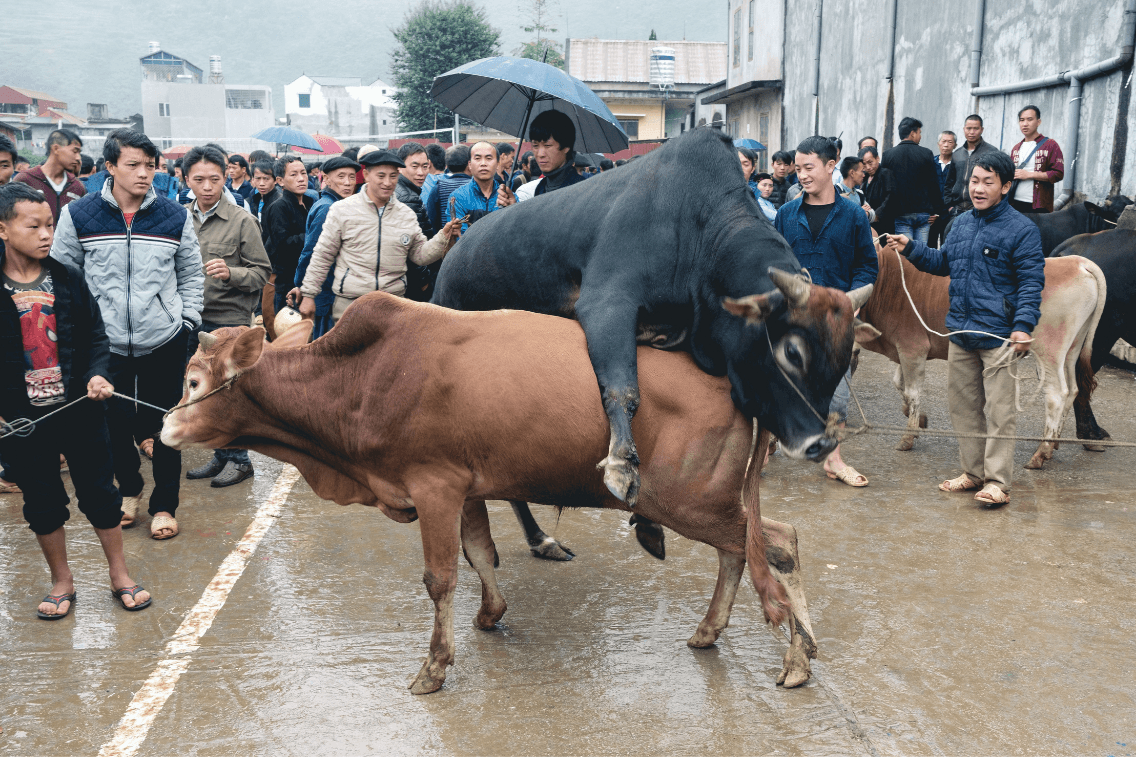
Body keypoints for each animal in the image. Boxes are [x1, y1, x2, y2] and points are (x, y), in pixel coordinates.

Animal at [160, 288, 858, 691]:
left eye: (193, 381)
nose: (163, 425)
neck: (362, 377)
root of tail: (739, 381)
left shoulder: (434, 487)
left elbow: (441, 577)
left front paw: (434, 666)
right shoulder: (465, 487)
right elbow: (480, 555)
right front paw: (491, 614)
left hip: (688, 499)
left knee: (774, 546)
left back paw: (796, 660)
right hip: (707, 501)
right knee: (751, 549)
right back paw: (717, 632)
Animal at [431, 125, 867, 554]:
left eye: (844, 360)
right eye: (792, 351)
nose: (820, 444)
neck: (700, 234)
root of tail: (457, 250)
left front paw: (647, 520)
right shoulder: (607, 304)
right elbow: (624, 389)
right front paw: (622, 467)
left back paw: (540, 538)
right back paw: (537, 538)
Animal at [854, 246, 1104, 466]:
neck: (888, 280)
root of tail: (1076, 262)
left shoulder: (912, 347)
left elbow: (912, 392)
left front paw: (908, 436)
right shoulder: (903, 350)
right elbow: (899, 384)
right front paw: (920, 420)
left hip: (1049, 349)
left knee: (1056, 394)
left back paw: (1041, 453)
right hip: (1072, 348)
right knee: (1073, 389)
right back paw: (1053, 444)